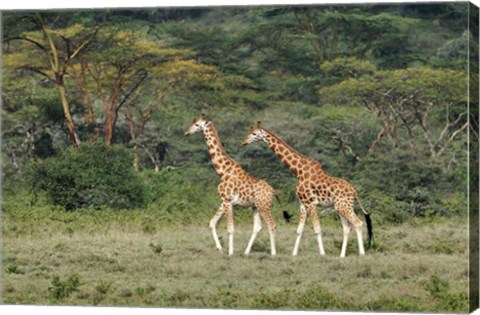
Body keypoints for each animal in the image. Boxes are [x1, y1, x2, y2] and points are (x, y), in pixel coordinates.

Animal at [185, 115, 278, 256]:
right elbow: (212, 223)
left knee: (271, 225)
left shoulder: (227, 201)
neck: (222, 171)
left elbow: (230, 228)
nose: (186, 132)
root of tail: (272, 191)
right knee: (258, 227)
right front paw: (220, 248)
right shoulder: (224, 201)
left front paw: (230, 252)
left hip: (264, 205)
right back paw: (246, 252)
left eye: (197, 125)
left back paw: (273, 253)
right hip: (256, 206)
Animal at [242, 122, 374, 258]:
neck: (298, 172)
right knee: (347, 227)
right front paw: (294, 254)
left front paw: (322, 254)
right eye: (250, 132)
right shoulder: (303, 204)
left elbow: (317, 229)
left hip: (344, 206)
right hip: (341, 207)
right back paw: (342, 255)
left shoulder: (311, 203)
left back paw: (362, 253)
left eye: (254, 133)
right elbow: (299, 230)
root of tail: (354, 192)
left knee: (358, 223)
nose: (244, 142)